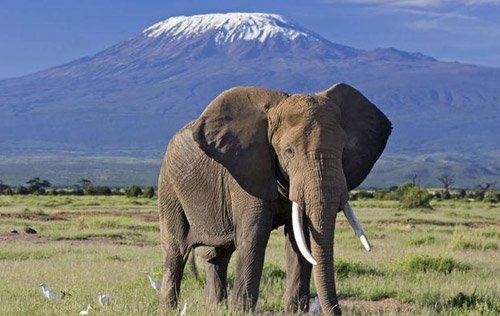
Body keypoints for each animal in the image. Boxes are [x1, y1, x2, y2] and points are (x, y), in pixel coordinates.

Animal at [158, 82, 392, 314]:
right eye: (289, 151)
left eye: (343, 150)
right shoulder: (247, 172)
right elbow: (255, 235)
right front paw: (241, 311)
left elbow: (300, 239)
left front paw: (295, 312)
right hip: (168, 186)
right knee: (176, 250)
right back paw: (169, 308)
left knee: (219, 256)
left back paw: (216, 308)